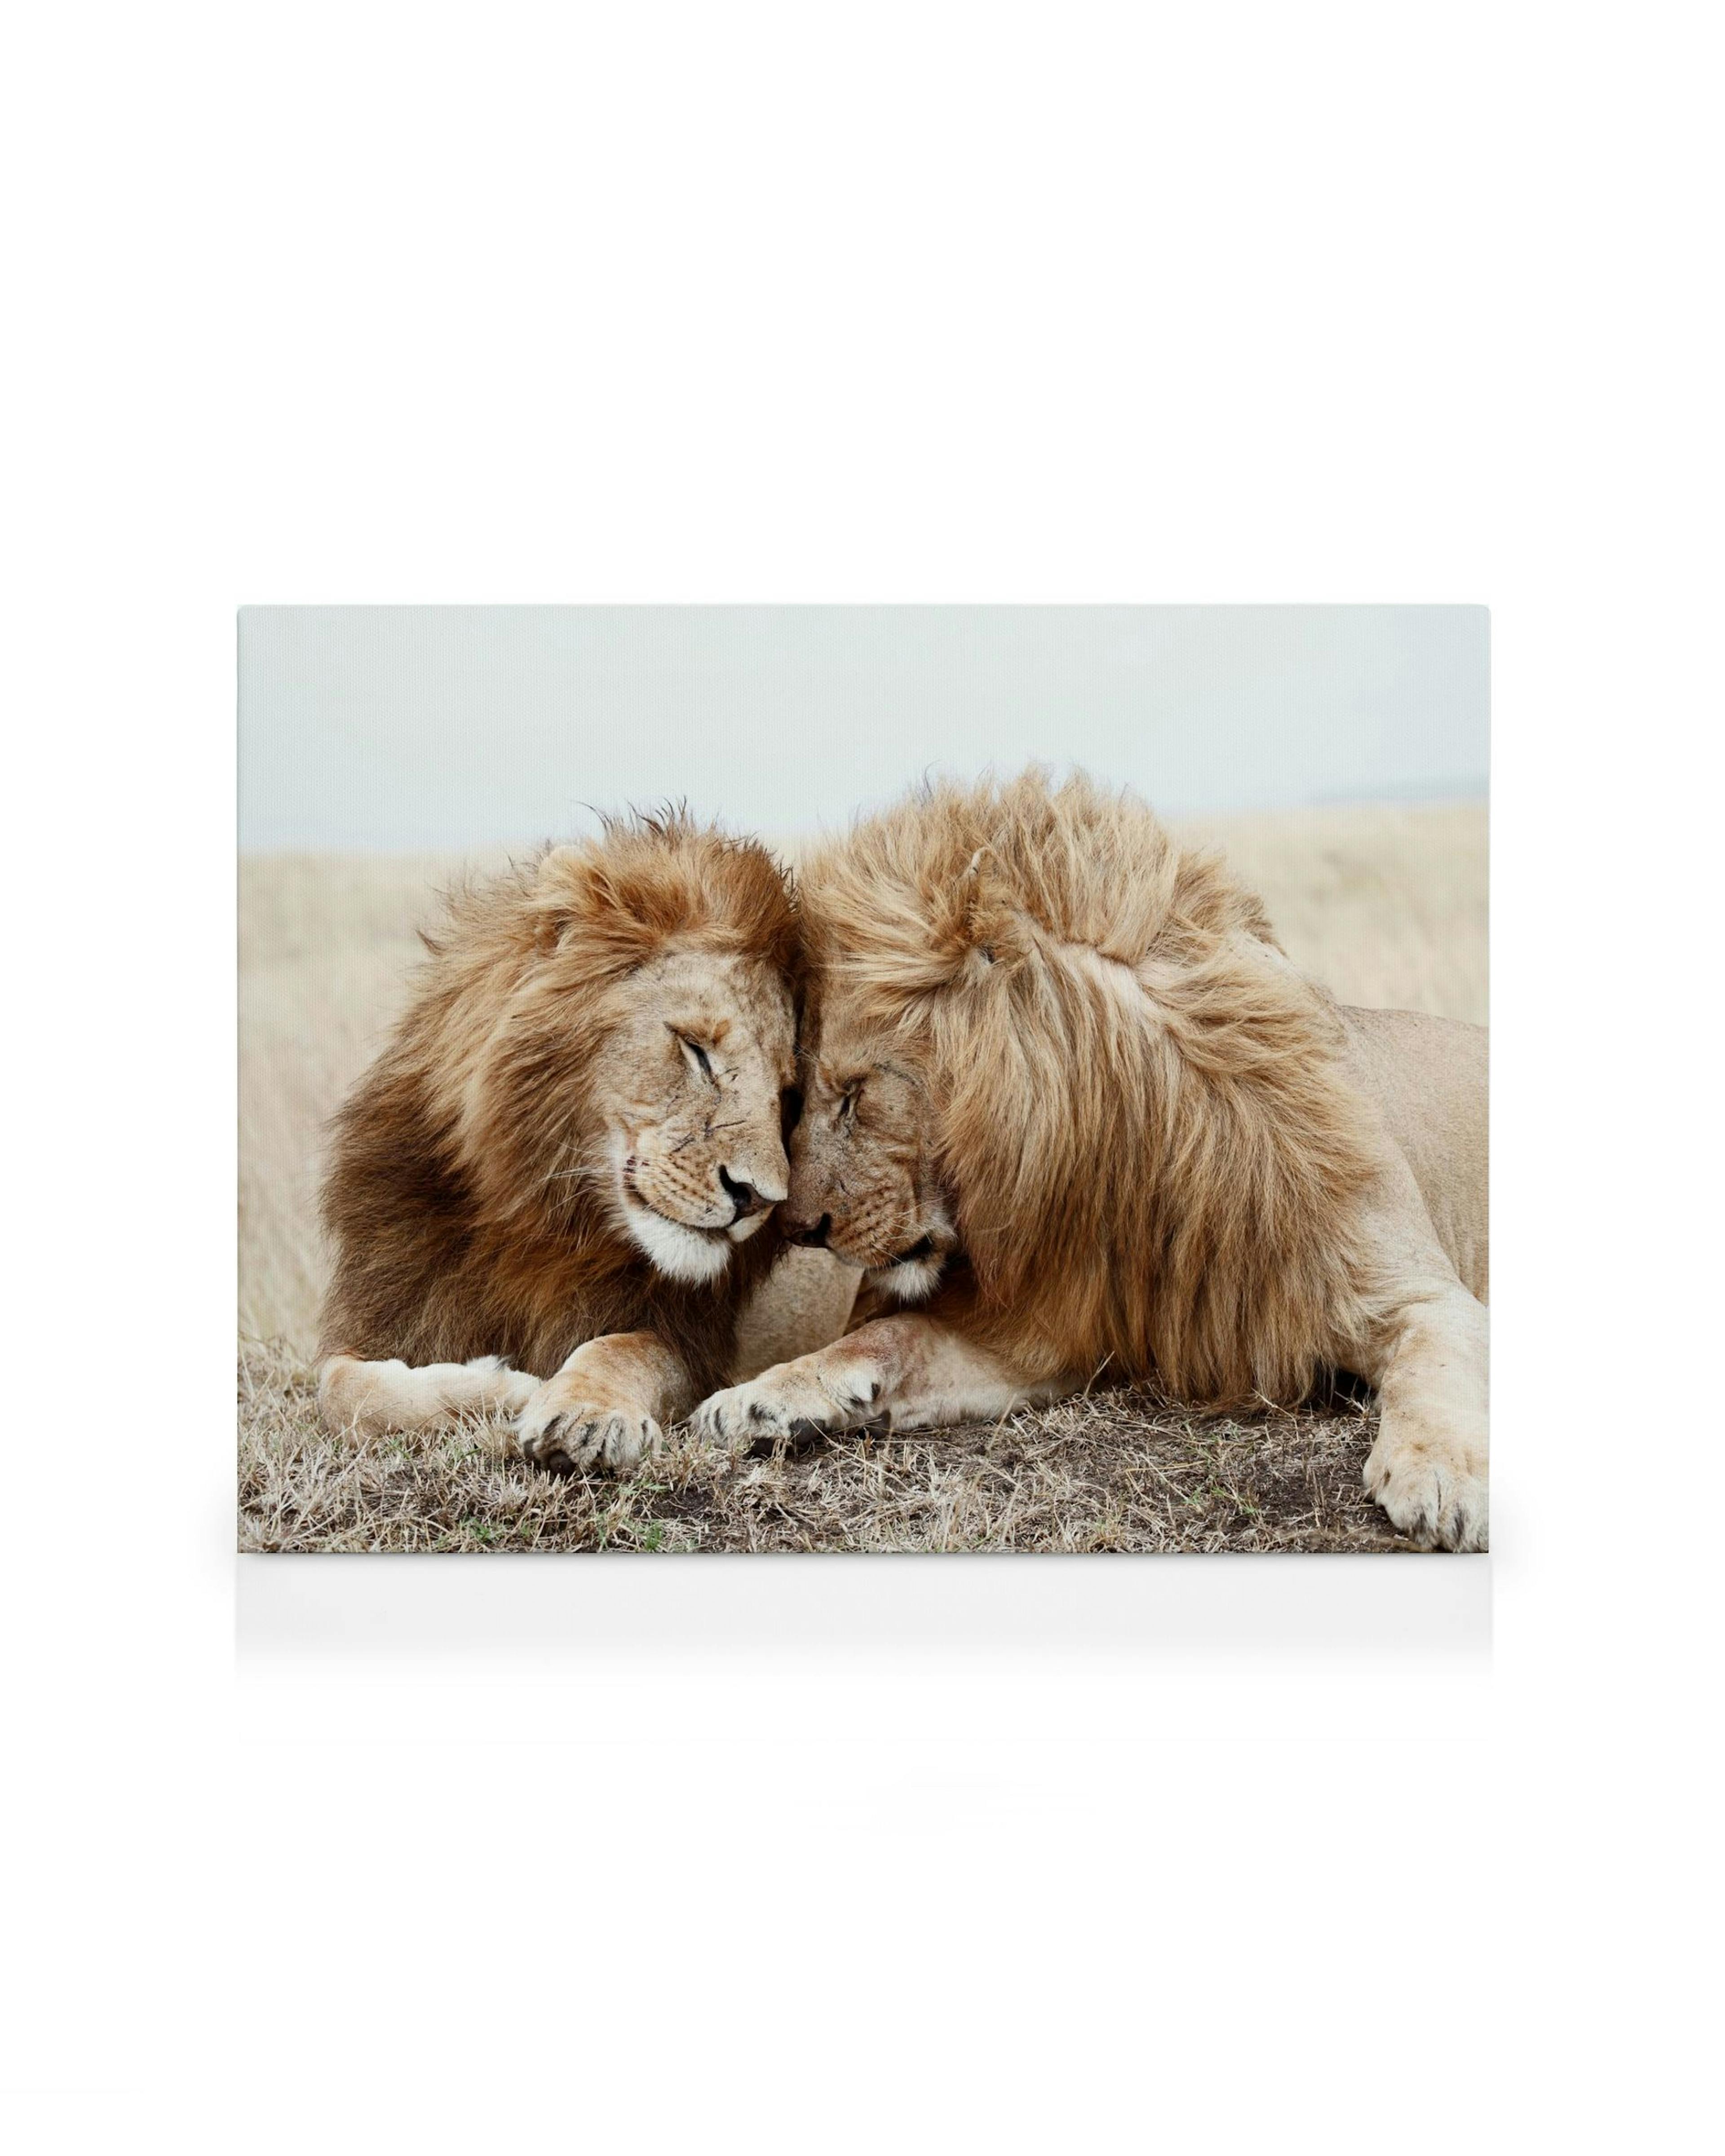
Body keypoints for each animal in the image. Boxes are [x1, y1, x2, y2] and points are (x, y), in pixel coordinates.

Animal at [316, 811, 801, 1473]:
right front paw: (504, 1386)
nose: (759, 1199)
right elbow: (344, 1392)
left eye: (787, 1093)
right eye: (696, 1050)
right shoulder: (383, 1312)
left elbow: (621, 1349)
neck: (540, 1216)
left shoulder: (689, 1339)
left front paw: (582, 1414)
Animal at [690, 770, 1489, 1551]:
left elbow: (1438, 1365)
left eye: (855, 1093)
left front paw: (1443, 1479)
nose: (797, 1228)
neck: (1129, 1145)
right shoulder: (1048, 1332)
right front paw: (756, 1399)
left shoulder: (1422, 1294)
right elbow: (892, 1335)